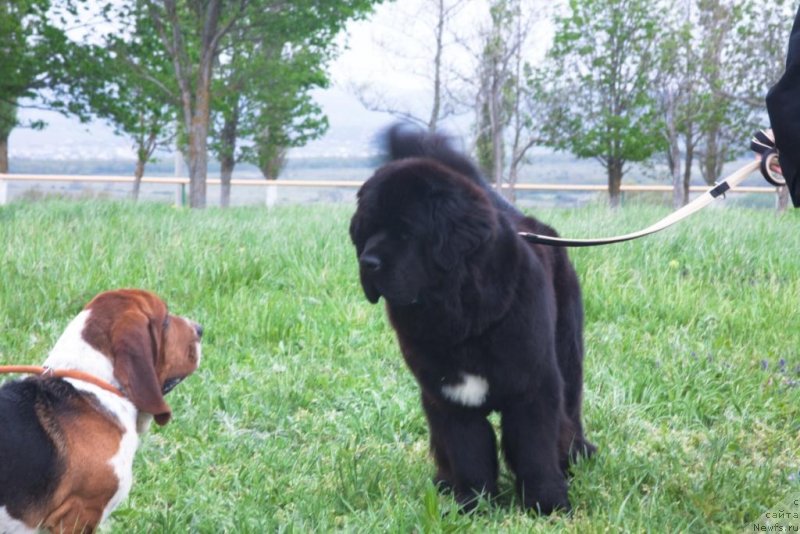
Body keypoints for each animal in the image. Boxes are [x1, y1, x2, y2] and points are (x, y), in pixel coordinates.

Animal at [350, 124, 592, 516]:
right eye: (366, 232)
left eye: (406, 231)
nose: (368, 263)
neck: (461, 315)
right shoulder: (449, 398)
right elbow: (469, 452)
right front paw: (474, 505)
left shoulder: (533, 387)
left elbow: (535, 449)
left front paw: (548, 504)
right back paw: (445, 482)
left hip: (567, 350)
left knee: (571, 408)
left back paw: (577, 456)